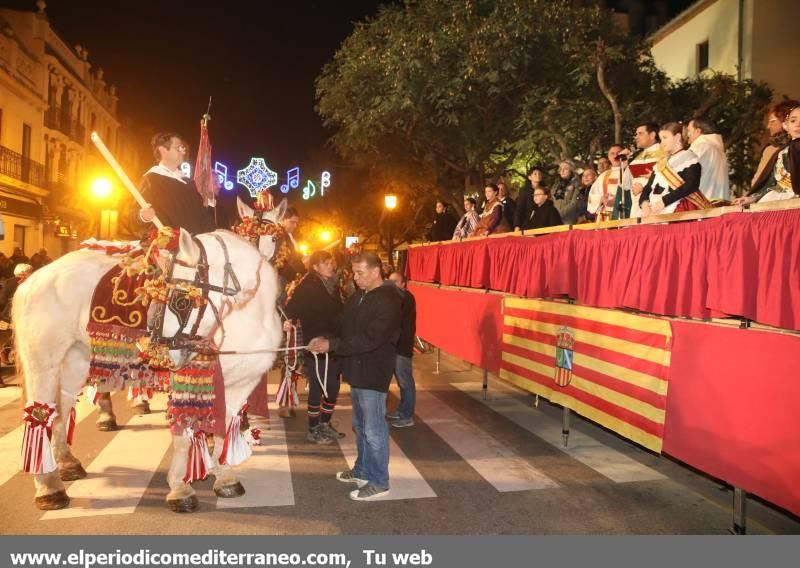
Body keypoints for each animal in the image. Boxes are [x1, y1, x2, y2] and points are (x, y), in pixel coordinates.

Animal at [12, 229, 282, 512]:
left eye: (182, 301)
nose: (159, 351)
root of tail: (34, 278)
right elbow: (183, 437)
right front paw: (180, 489)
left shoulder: (241, 383)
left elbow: (224, 430)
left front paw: (225, 478)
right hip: (43, 363)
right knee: (40, 414)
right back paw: (49, 487)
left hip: (75, 359)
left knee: (62, 409)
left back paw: (67, 464)